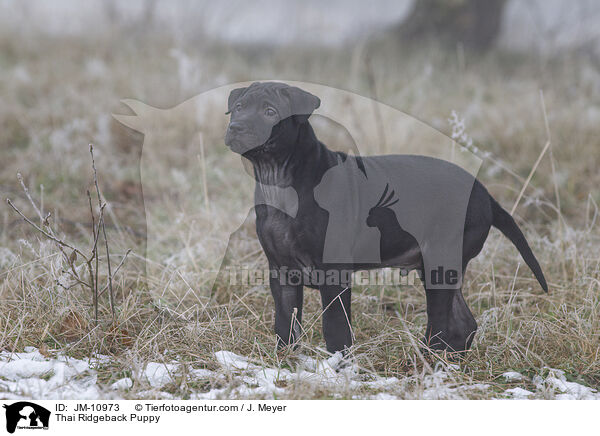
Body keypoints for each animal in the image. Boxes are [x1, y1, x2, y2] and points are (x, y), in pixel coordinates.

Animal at [225, 82, 548, 354]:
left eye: (270, 111)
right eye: (238, 107)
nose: (236, 127)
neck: (277, 178)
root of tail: (484, 193)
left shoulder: (333, 273)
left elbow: (336, 327)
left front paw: (338, 365)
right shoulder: (281, 272)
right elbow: (285, 325)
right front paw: (284, 361)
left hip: (441, 262)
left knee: (442, 322)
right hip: (438, 266)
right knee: (462, 322)